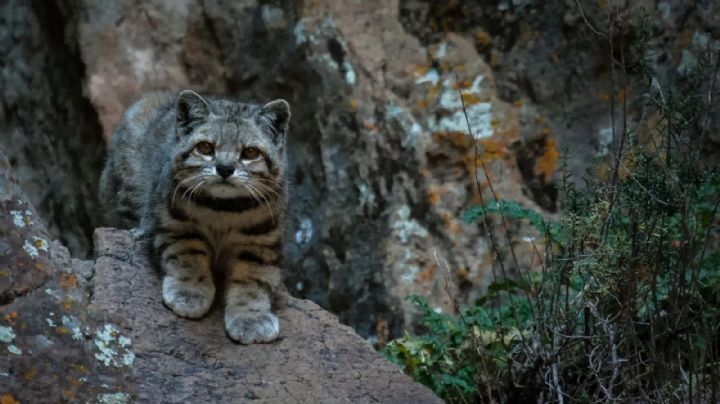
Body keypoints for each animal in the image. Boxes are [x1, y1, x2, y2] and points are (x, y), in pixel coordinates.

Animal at [99, 90, 290, 342]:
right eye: (206, 147)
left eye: (250, 152)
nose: (225, 168)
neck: (224, 209)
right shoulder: (176, 226)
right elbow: (189, 259)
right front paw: (189, 293)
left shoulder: (260, 243)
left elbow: (253, 280)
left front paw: (251, 318)